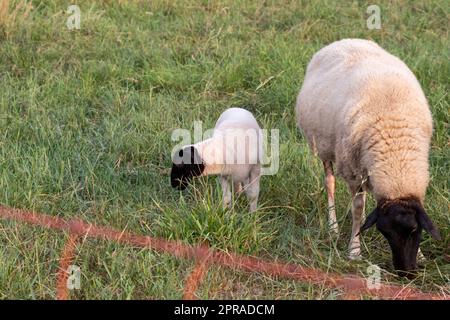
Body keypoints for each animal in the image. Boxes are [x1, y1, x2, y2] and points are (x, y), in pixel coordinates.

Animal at [296, 39, 440, 276]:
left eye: (413, 230)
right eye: (386, 233)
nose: (405, 272)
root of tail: (344, 40)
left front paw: (421, 255)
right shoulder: (352, 170)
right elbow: (356, 209)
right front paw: (354, 250)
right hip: (325, 146)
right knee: (330, 183)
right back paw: (333, 228)